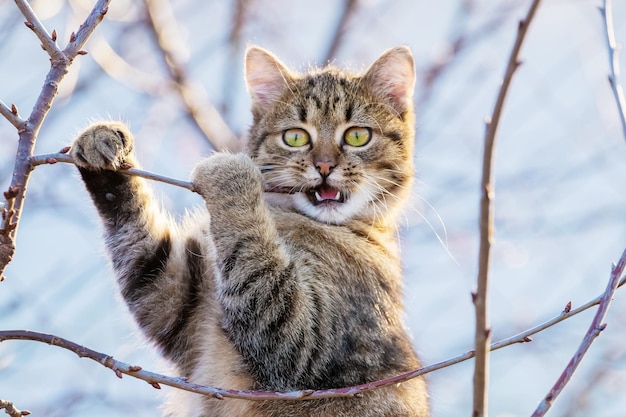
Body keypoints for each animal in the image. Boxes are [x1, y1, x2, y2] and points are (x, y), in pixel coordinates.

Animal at [69, 45, 428, 416]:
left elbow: (258, 270)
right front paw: (104, 149)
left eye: (358, 135)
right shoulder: (176, 303)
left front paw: (231, 175)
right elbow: (145, 257)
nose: (325, 165)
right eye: (295, 136)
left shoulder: (305, 337)